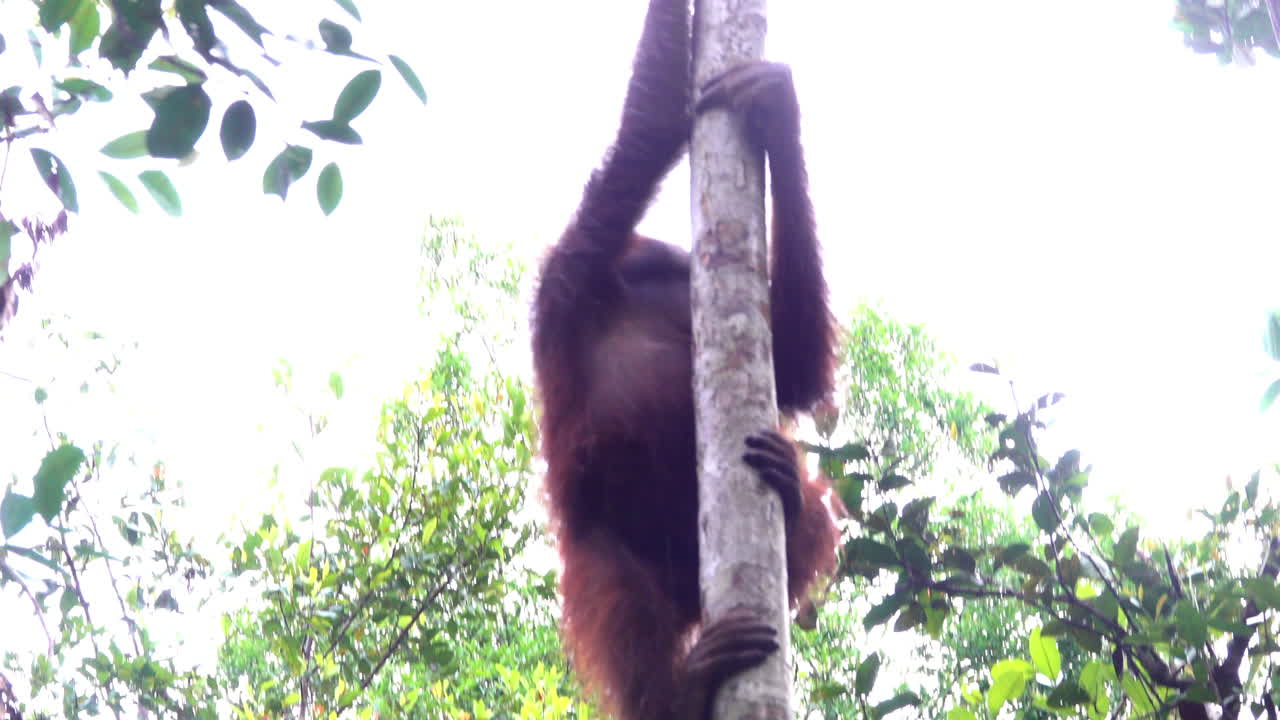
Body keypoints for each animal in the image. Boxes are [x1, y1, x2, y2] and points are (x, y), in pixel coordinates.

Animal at [530, 1, 839, 719]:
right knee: (625, 608)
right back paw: (680, 694)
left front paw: (778, 111)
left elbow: (795, 365)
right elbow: (648, 135)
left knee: (812, 511)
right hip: (604, 545)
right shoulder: (570, 274)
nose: (670, 261)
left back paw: (790, 498)